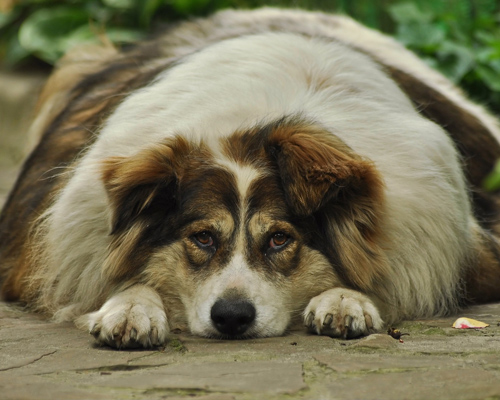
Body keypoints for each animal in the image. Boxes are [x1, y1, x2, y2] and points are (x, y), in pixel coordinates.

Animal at [0, 7, 500, 348]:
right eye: (202, 238)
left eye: (280, 239)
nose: (232, 318)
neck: (256, 125)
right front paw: (129, 308)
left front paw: (345, 299)